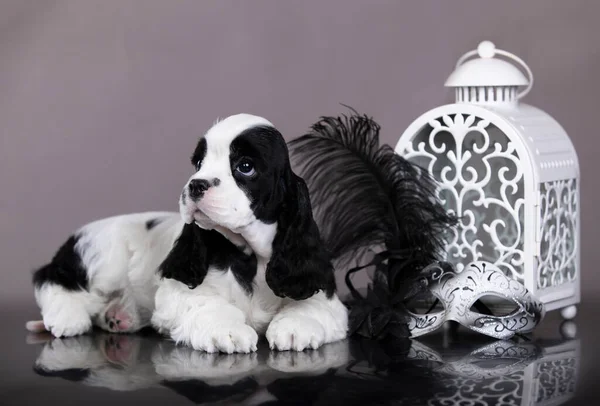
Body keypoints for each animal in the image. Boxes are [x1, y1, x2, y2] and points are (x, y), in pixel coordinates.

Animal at [30, 113, 350, 352]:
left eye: (245, 166)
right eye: (198, 163)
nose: (196, 184)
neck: (247, 256)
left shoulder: (315, 284)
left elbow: (312, 304)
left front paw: (296, 327)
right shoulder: (177, 290)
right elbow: (207, 303)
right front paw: (228, 331)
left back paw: (119, 316)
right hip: (105, 256)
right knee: (50, 278)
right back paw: (69, 317)